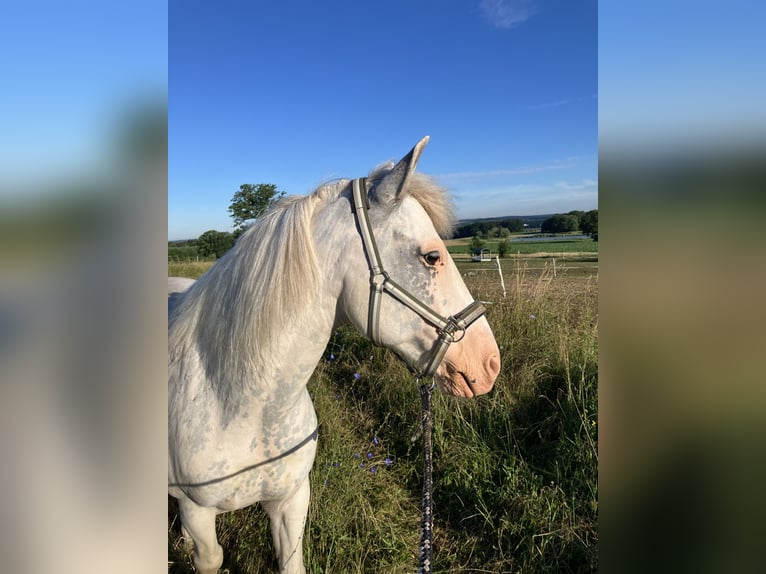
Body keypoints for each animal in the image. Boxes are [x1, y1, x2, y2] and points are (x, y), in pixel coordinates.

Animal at [169, 137, 500, 572]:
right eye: (431, 257)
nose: (489, 362)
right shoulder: (198, 512)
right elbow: (208, 556)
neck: (242, 407)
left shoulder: (291, 502)